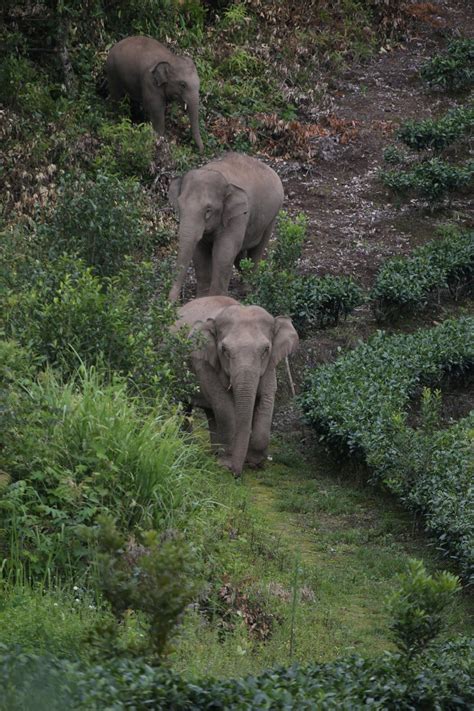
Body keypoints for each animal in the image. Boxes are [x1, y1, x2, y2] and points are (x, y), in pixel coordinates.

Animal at [168, 153, 284, 304]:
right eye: (180, 206)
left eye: (208, 211)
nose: (171, 302)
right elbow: (200, 253)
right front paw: (201, 299)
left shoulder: (238, 215)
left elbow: (224, 252)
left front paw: (215, 300)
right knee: (239, 256)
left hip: (272, 217)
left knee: (257, 249)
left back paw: (248, 290)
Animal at [176, 294, 298, 478]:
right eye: (224, 350)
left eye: (266, 349)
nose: (236, 474)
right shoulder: (204, 361)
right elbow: (224, 405)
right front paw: (226, 464)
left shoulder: (269, 366)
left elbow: (266, 399)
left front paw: (255, 463)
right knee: (184, 405)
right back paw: (187, 446)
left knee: (210, 411)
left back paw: (214, 452)